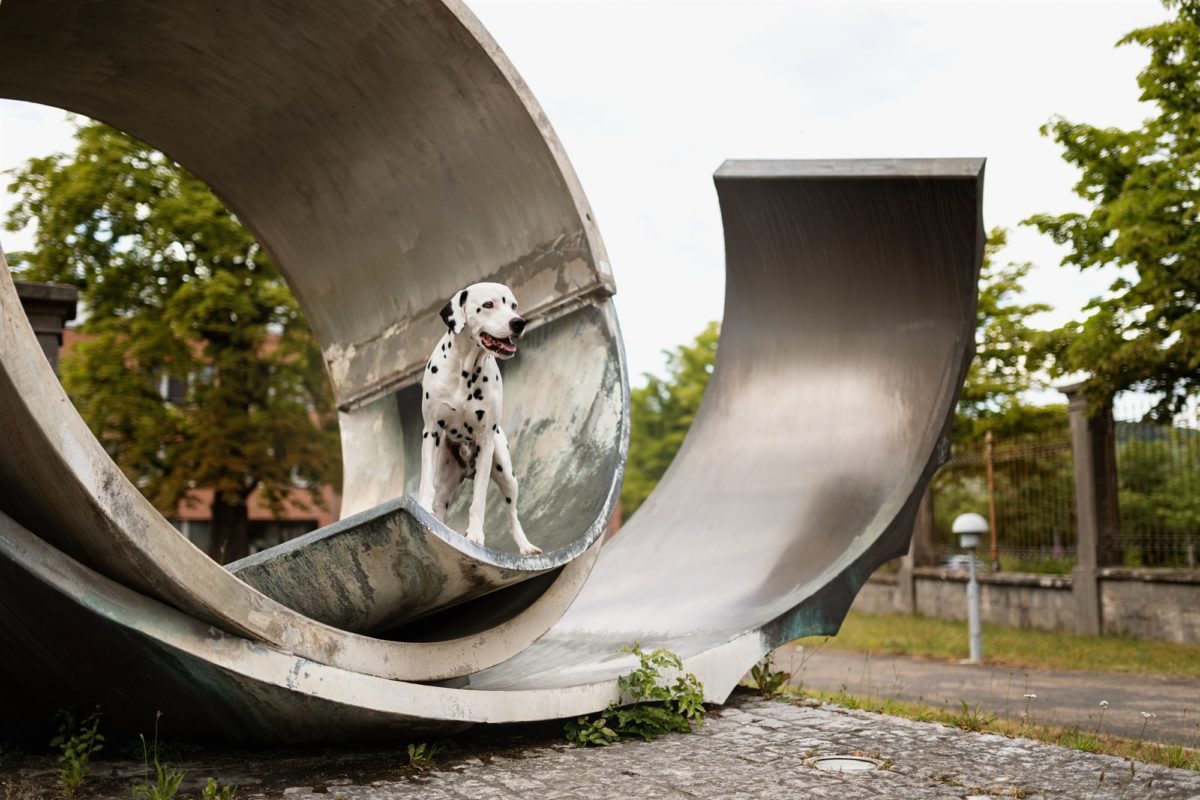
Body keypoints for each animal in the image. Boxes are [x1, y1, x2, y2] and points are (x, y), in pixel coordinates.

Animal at [417, 284, 540, 554]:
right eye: (488, 305)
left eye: (513, 306)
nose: (519, 322)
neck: (465, 371)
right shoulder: (431, 431)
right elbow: (425, 484)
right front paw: (423, 509)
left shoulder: (485, 443)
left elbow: (479, 500)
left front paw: (474, 535)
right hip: (445, 481)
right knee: (439, 502)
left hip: (506, 474)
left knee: (512, 516)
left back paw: (526, 546)